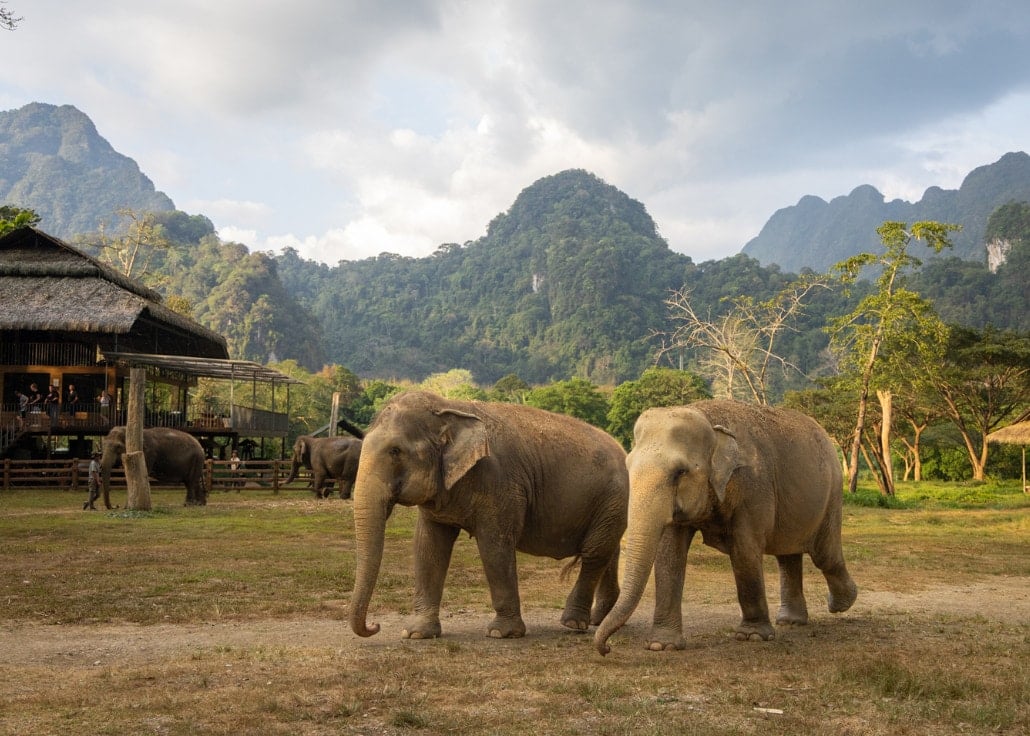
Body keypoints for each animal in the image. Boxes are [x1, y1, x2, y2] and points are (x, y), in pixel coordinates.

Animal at [349, 390, 629, 640]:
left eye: (395, 451)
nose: (374, 626)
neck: (450, 407)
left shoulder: (500, 483)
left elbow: (495, 545)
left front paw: (502, 633)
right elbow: (428, 546)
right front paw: (416, 634)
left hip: (613, 498)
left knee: (594, 553)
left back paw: (573, 624)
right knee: (608, 550)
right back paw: (599, 620)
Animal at [595, 400, 857, 655]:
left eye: (680, 472)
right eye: (628, 467)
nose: (607, 648)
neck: (708, 418)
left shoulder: (754, 487)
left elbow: (744, 549)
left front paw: (752, 636)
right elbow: (669, 554)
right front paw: (662, 645)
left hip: (832, 494)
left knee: (824, 555)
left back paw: (841, 603)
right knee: (787, 555)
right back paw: (791, 621)